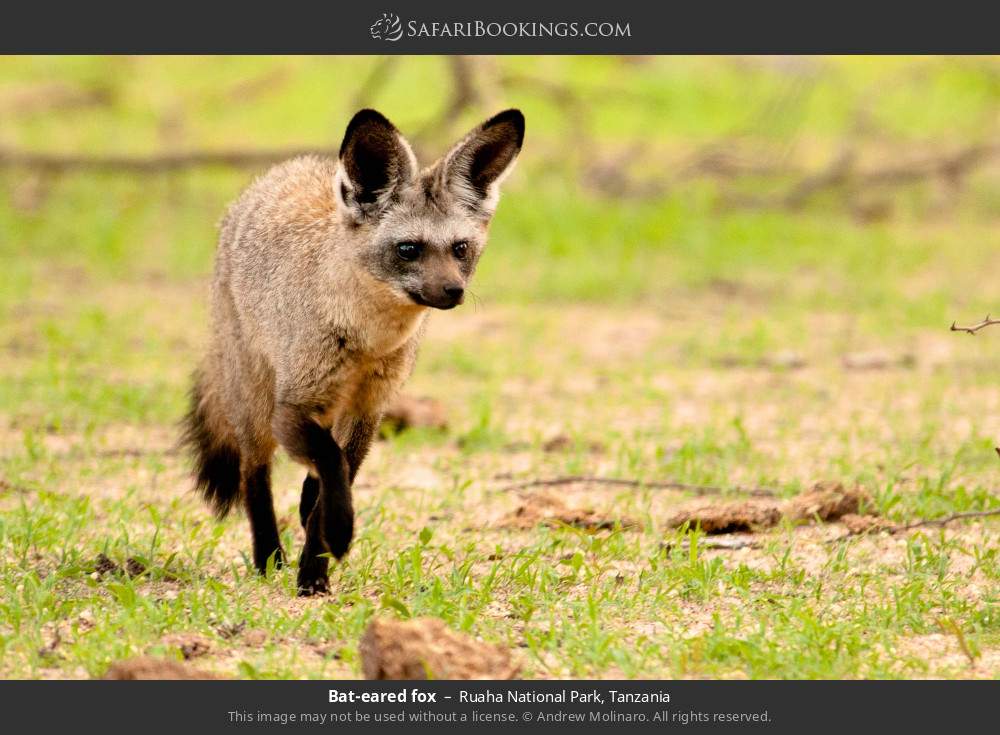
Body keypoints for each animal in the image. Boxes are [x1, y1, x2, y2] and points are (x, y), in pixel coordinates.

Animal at [181, 108, 525, 595]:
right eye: (408, 249)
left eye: (460, 249)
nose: (454, 292)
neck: (366, 342)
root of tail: (291, 167)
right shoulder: (293, 406)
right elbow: (330, 463)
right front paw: (335, 536)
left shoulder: (368, 409)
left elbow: (336, 472)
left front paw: (315, 568)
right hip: (256, 404)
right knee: (254, 473)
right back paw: (268, 557)